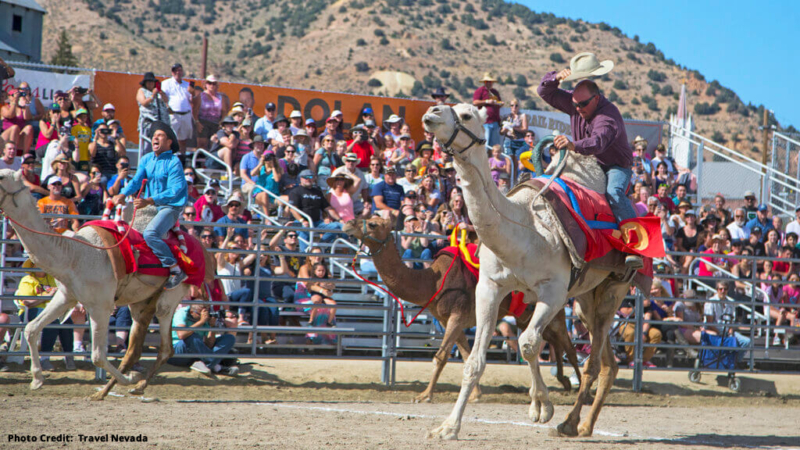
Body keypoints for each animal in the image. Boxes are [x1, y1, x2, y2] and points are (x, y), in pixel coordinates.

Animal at [0, 169, 208, 400]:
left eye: (1, 178)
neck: (74, 255)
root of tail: (201, 246)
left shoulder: (100, 305)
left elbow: (98, 355)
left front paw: (128, 380)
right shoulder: (66, 296)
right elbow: (31, 328)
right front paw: (37, 380)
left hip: (171, 295)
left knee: (164, 345)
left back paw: (134, 385)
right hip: (141, 302)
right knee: (136, 348)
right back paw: (113, 390)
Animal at [343, 217, 583, 403]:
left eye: (372, 224)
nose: (347, 224)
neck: (432, 282)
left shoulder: (456, 315)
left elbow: (441, 356)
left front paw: (425, 395)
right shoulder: (450, 319)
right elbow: (467, 356)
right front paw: (475, 394)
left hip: (553, 307)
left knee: (568, 346)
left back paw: (581, 388)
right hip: (526, 315)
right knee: (553, 341)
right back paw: (564, 382)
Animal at [422, 104, 637, 440]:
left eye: (467, 115)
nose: (431, 112)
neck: (522, 229)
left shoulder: (553, 291)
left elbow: (528, 343)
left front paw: (544, 407)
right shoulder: (491, 288)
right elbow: (476, 361)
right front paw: (447, 427)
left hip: (613, 291)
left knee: (593, 360)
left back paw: (569, 423)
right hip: (586, 298)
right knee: (608, 364)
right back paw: (585, 425)